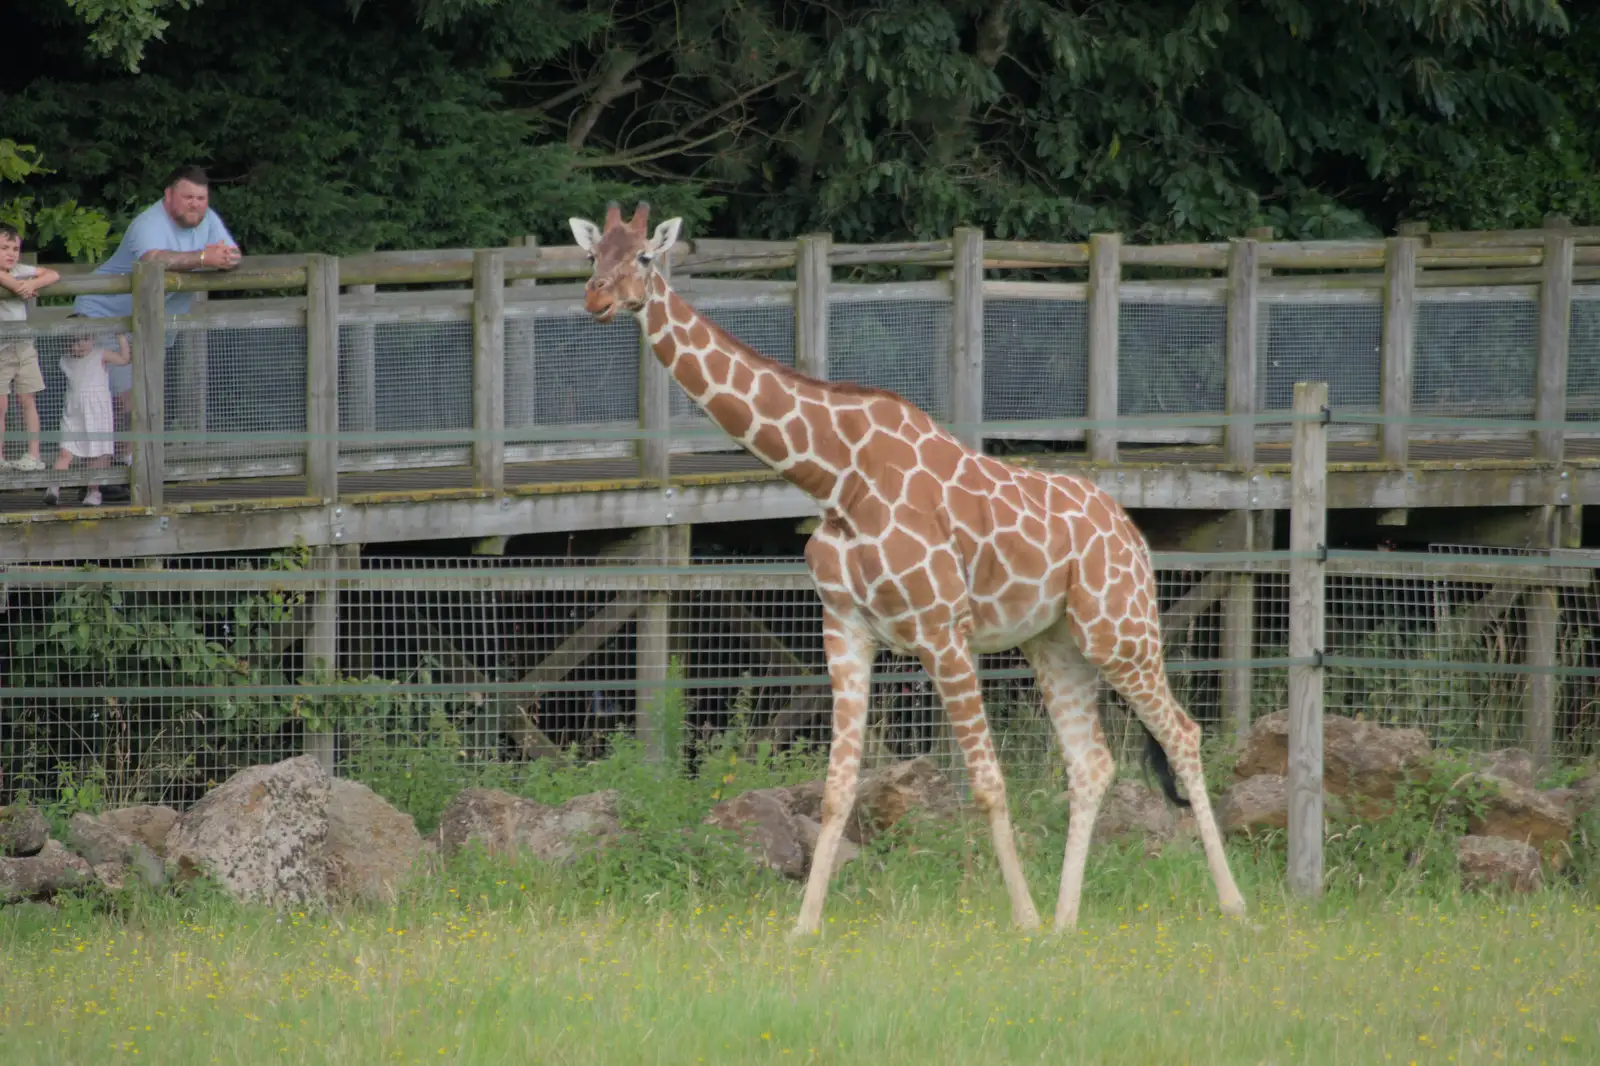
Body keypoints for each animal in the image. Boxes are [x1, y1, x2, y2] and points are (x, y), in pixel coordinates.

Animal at [569, 199, 1241, 928]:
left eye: (644, 256)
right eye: (591, 255)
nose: (596, 298)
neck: (836, 477)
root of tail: (1130, 532)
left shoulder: (943, 632)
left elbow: (987, 783)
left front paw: (1023, 921)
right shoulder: (845, 630)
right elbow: (837, 787)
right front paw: (802, 929)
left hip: (1120, 629)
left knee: (1184, 734)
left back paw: (1230, 905)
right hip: (1054, 642)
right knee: (1091, 762)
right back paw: (1067, 923)